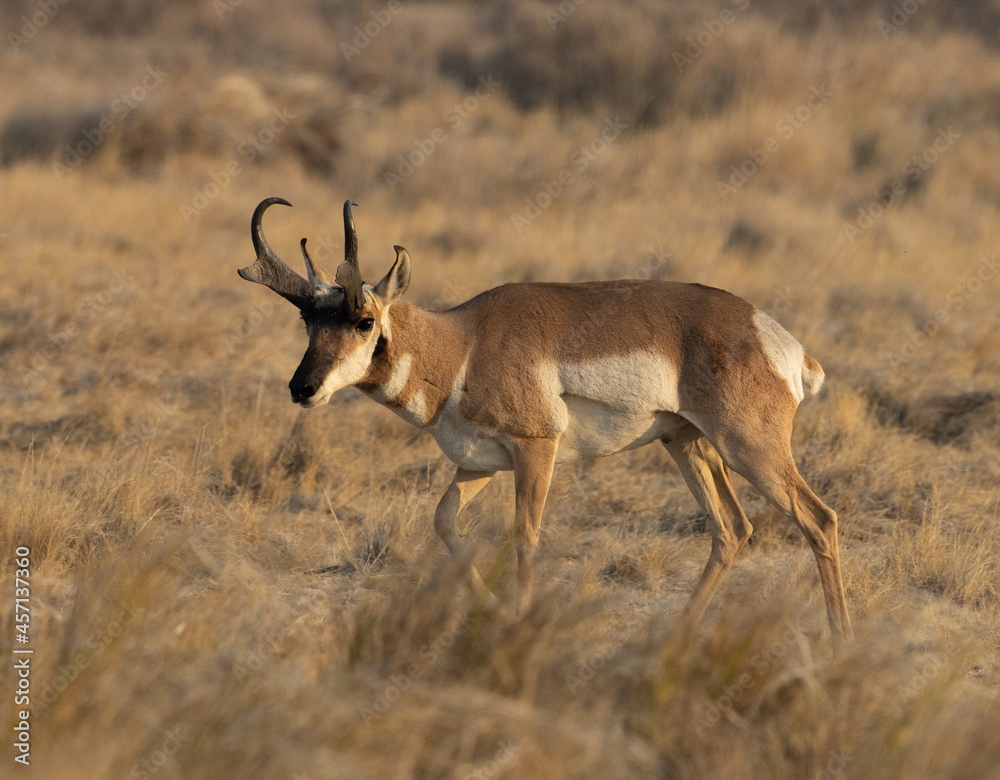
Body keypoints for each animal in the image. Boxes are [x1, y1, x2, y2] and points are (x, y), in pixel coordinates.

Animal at [238, 197, 853, 642]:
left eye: (363, 320)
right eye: (308, 320)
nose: (301, 388)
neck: (464, 342)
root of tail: (772, 335)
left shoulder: (537, 449)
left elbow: (526, 535)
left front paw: (518, 620)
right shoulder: (479, 465)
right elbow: (444, 522)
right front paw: (491, 608)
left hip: (749, 450)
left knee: (818, 518)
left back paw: (841, 640)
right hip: (688, 446)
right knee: (732, 530)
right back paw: (675, 636)